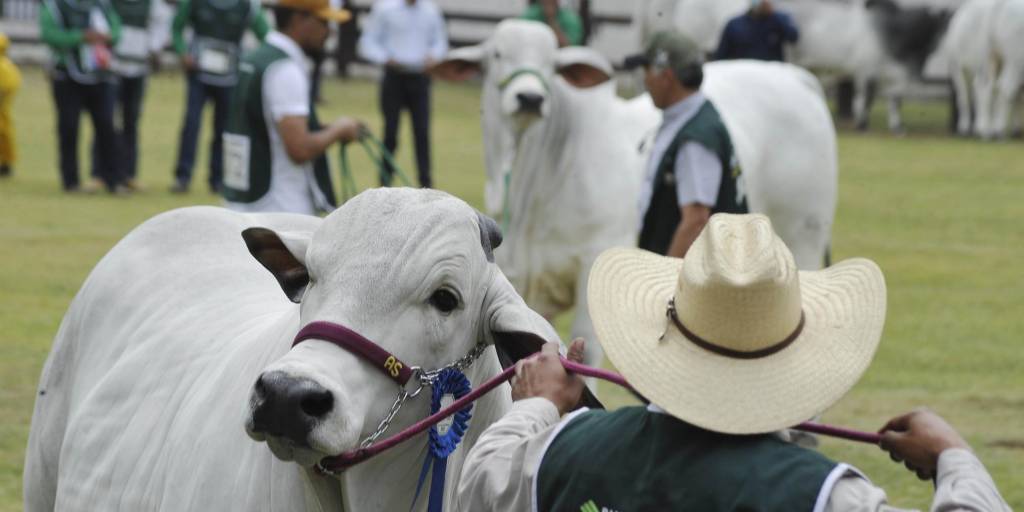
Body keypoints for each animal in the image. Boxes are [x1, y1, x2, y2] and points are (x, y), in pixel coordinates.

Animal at [436, 19, 835, 370]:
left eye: (551, 63)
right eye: (497, 54)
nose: (530, 98)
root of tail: (792, 76)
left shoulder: (595, 258)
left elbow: (586, 348)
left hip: (804, 237)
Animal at [942, 0, 1024, 138]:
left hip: (988, 59)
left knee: (984, 89)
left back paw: (983, 129)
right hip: (1012, 59)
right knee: (998, 89)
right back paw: (992, 129)